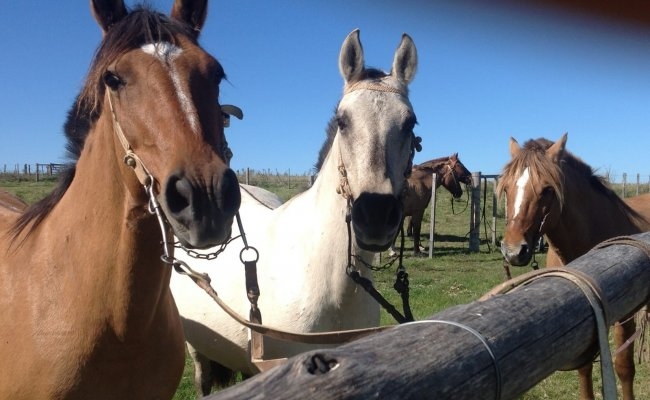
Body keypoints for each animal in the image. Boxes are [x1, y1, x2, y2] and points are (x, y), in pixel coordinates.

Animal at [496, 134, 648, 400]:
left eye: (548, 190)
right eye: (506, 188)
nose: (513, 251)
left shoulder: (626, 314)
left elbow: (624, 368)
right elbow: (584, 369)